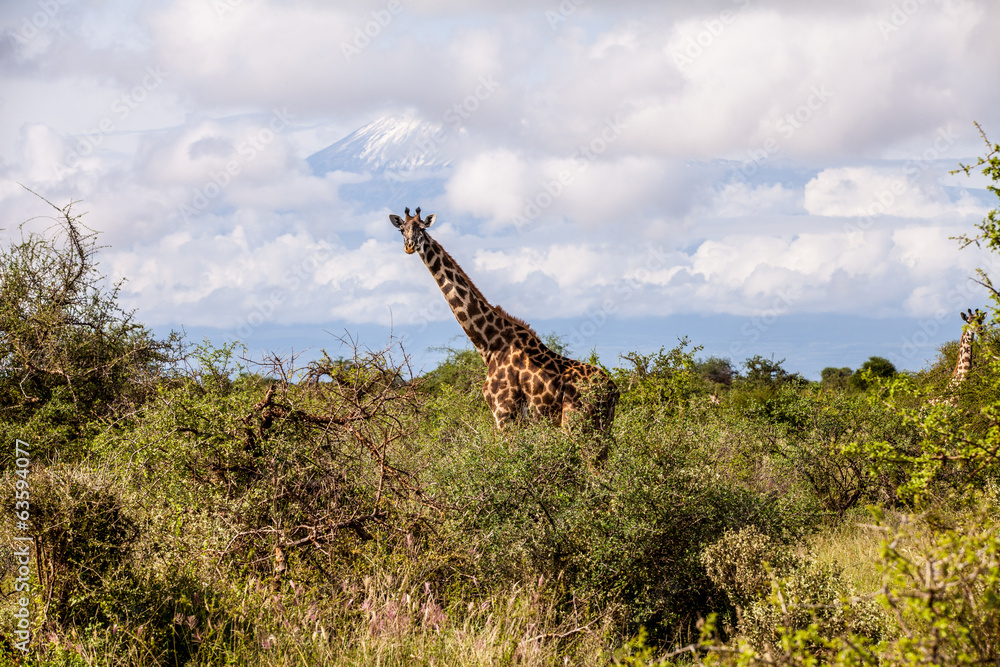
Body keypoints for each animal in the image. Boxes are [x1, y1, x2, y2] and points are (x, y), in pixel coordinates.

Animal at [390, 207, 619, 435]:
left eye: (422, 228)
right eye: (402, 229)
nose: (409, 247)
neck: (489, 344)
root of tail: (613, 390)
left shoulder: (504, 412)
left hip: (575, 422)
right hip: (601, 428)